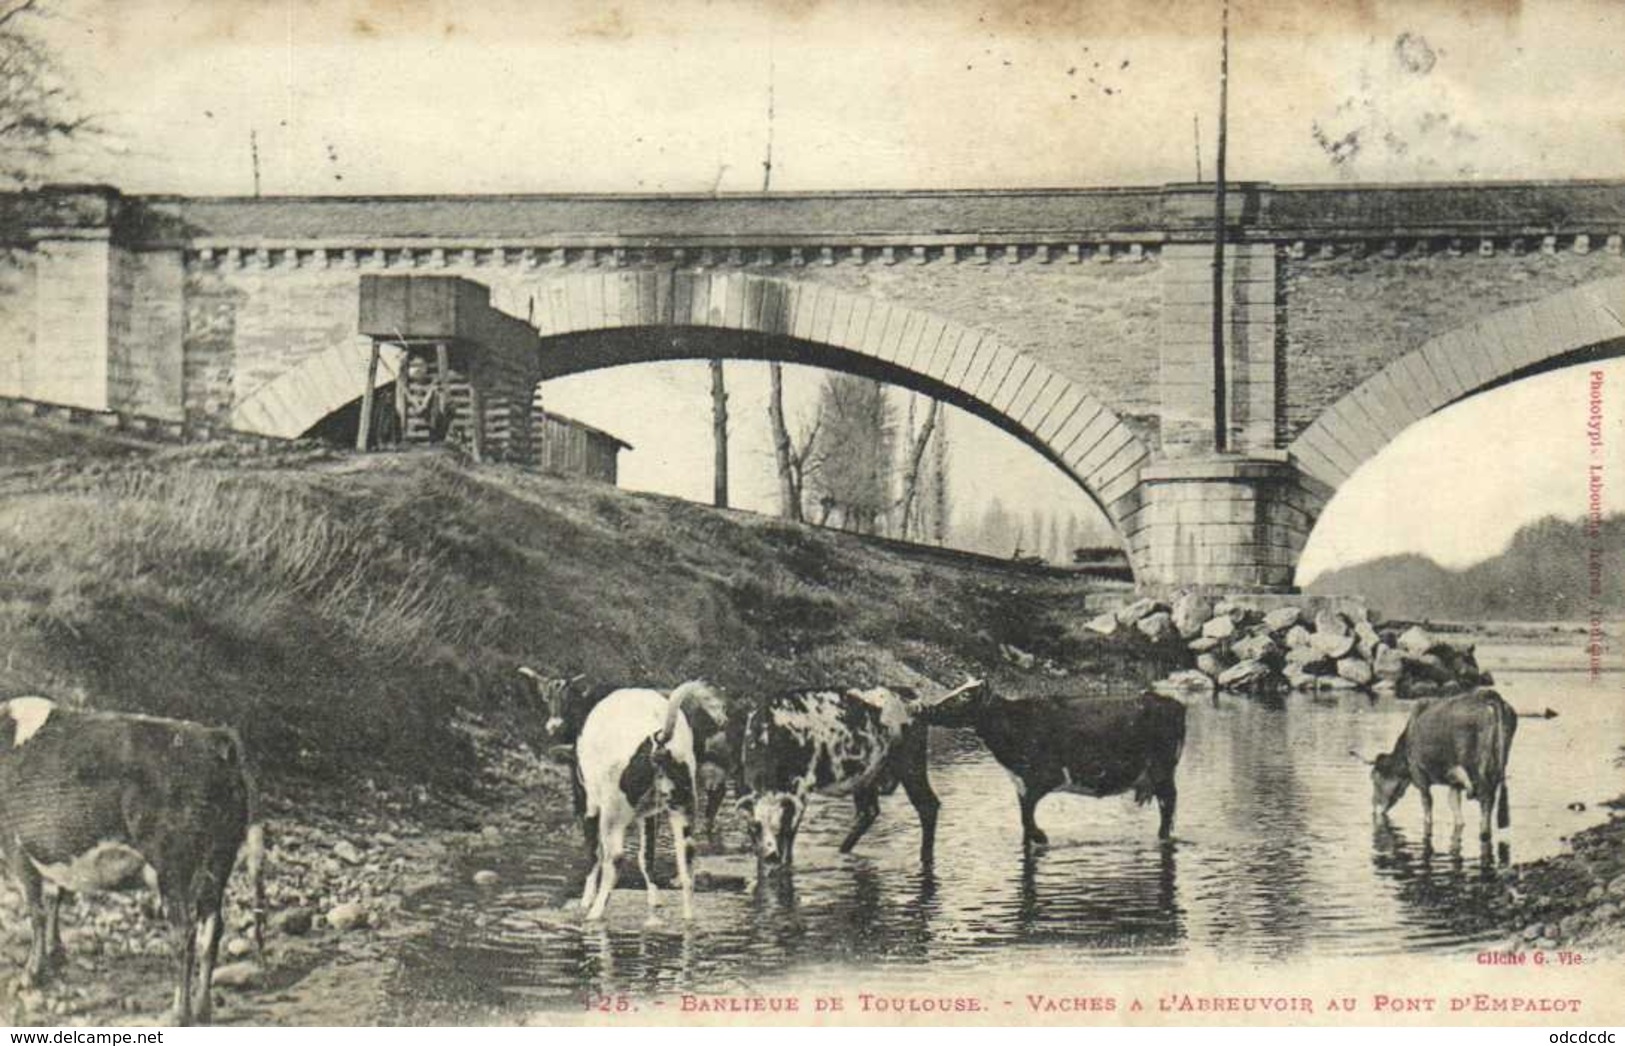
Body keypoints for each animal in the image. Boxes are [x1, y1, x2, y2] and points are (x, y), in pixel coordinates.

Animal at [0, 691, 263, 1026]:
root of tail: (213, 737)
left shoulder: (14, 846)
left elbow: (36, 911)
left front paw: (31, 974)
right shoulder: (54, 853)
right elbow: (54, 898)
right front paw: (56, 956)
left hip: (173, 867)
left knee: (185, 935)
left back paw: (178, 1013)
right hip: (219, 861)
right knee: (211, 930)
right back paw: (203, 1009)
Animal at [572, 682, 724, 922]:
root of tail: (658, 738)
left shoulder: (590, 807)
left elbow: (593, 856)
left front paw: (586, 901)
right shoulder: (650, 816)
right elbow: (646, 858)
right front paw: (655, 900)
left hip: (612, 816)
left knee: (614, 860)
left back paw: (595, 913)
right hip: (683, 814)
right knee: (686, 868)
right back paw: (688, 917)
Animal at [737, 682, 975, 870]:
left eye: (780, 827)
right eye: (754, 828)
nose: (771, 856)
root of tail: (914, 700)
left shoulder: (800, 792)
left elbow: (789, 843)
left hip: (910, 765)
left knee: (927, 806)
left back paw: (925, 858)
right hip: (866, 777)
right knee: (868, 812)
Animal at [923, 682, 1189, 844]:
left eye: (965, 695)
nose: (930, 708)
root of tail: (1170, 702)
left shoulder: (1044, 778)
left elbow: (1027, 819)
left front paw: (1041, 837)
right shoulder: (1020, 784)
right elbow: (1024, 818)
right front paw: (1033, 839)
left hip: (1162, 773)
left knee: (1168, 807)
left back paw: (1162, 837)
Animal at [1371, 685, 1521, 844]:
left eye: (1374, 778)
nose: (1374, 806)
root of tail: (1489, 695)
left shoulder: (1419, 776)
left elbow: (1427, 807)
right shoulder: (1454, 784)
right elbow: (1455, 808)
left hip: (1478, 768)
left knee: (1485, 798)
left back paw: (1484, 833)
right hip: (1498, 764)